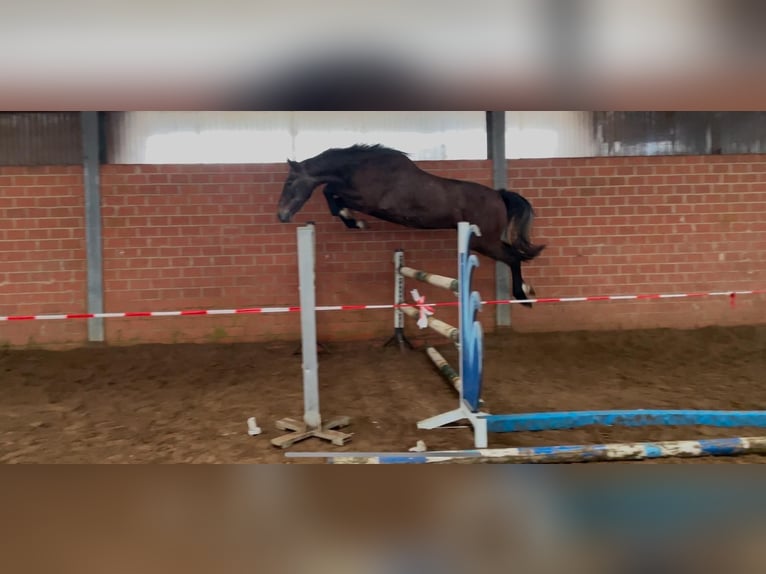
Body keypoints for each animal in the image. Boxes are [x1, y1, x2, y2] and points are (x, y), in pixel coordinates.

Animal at [276, 144, 545, 305]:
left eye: (289, 182)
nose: (281, 215)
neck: (362, 168)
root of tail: (499, 195)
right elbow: (331, 192)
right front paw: (353, 221)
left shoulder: (370, 201)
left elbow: (332, 193)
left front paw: (356, 222)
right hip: (485, 241)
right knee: (514, 256)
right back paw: (527, 290)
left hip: (484, 242)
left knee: (513, 257)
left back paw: (523, 296)